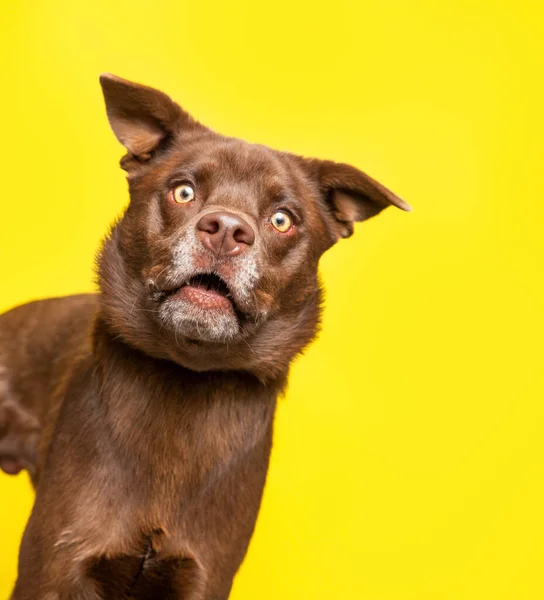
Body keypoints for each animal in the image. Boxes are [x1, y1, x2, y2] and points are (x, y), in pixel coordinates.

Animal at [0, 76, 408, 600]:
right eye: (183, 192)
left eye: (283, 219)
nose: (227, 230)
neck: (187, 376)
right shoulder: (53, 572)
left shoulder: (205, 577)